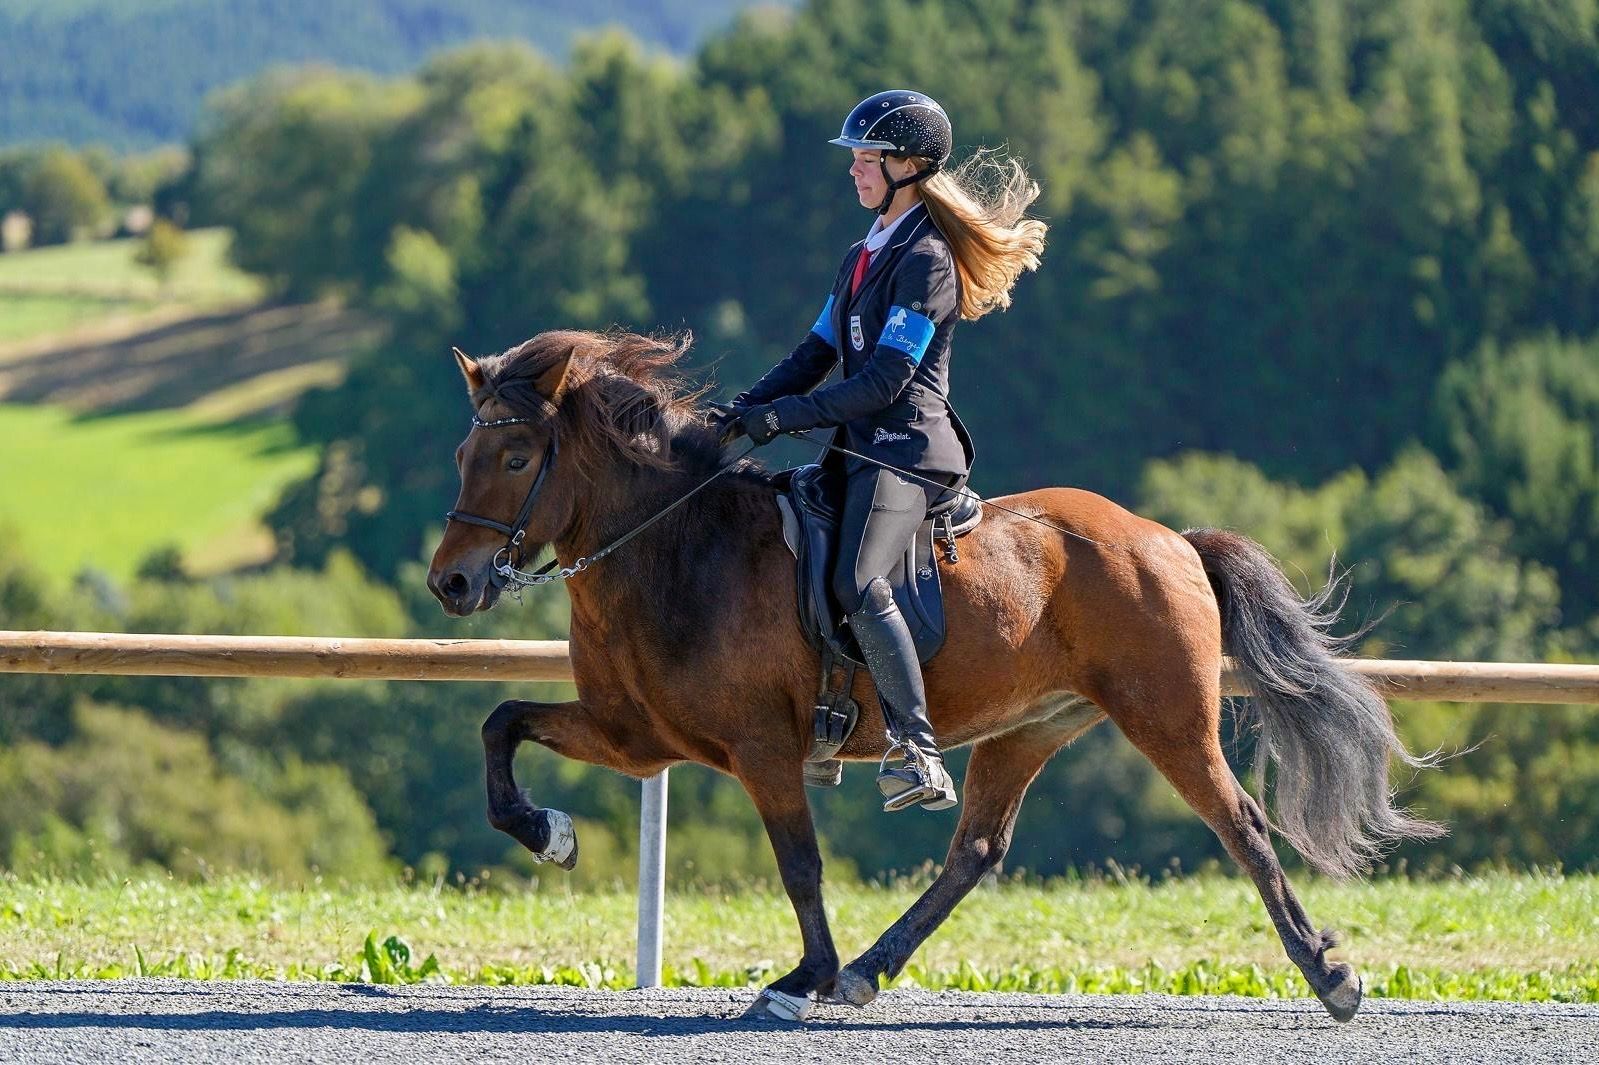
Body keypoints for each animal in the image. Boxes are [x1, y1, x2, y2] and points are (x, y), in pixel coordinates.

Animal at [426, 328, 1443, 1023]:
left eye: (515, 456)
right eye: (463, 454)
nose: (452, 583)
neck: (676, 545)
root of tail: (1167, 539)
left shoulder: (759, 747)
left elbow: (799, 863)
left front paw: (798, 979)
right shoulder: (639, 737)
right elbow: (501, 722)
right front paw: (548, 833)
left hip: (1167, 717)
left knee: (1242, 825)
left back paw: (1331, 975)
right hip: (1028, 726)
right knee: (975, 851)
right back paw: (870, 968)